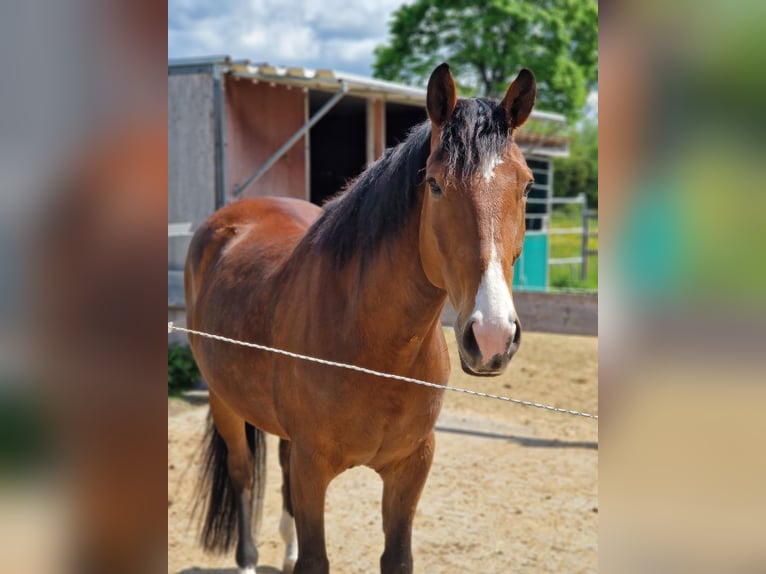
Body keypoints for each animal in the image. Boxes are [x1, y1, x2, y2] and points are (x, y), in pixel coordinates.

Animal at [184, 62, 536, 574]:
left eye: (527, 185)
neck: (377, 350)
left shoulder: (412, 466)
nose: (491, 336)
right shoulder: (313, 469)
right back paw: (248, 558)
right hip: (223, 401)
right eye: (435, 184)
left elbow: (397, 557)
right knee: (243, 475)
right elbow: (315, 558)